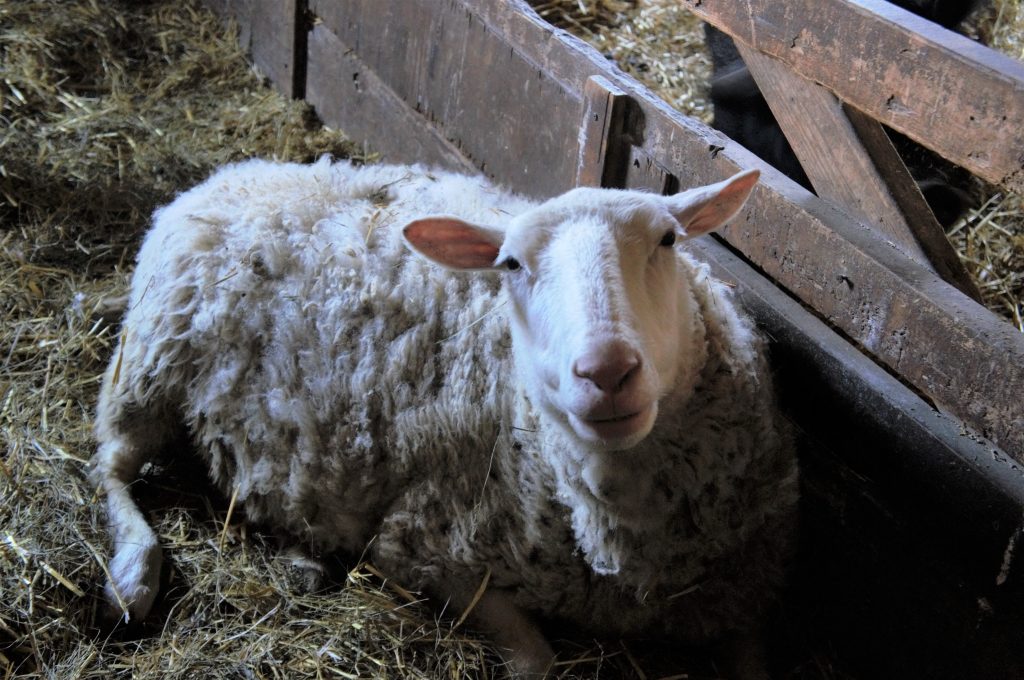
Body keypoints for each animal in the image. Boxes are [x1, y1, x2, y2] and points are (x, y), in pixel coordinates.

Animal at [94, 156, 798, 675]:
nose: (606, 371)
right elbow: (537, 662)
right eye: (510, 263)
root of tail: (238, 170)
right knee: (110, 462)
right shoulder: (427, 551)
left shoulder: (741, 596)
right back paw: (133, 577)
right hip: (148, 366)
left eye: (668, 239)